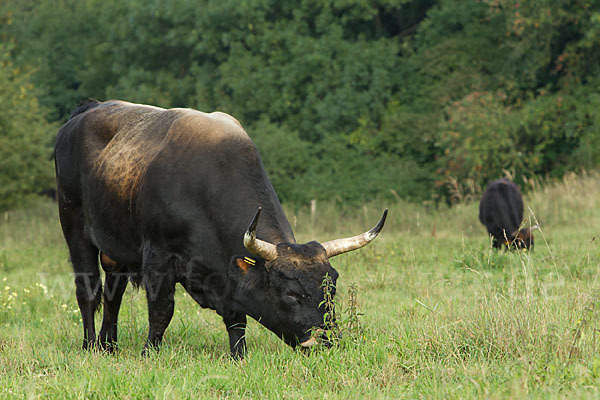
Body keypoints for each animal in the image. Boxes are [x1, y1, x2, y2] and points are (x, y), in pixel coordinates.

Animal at [54, 98, 386, 358]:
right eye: (291, 294)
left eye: (331, 289)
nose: (326, 342)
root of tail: (89, 108)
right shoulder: (158, 256)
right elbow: (161, 311)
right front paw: (150, 352)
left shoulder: (227, 273)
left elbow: (236, 318)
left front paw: (239, 355)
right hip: (74, 226)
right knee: (88, 289)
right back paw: (89, 346)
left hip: (116, 248)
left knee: (114, 291)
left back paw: (108, 346)